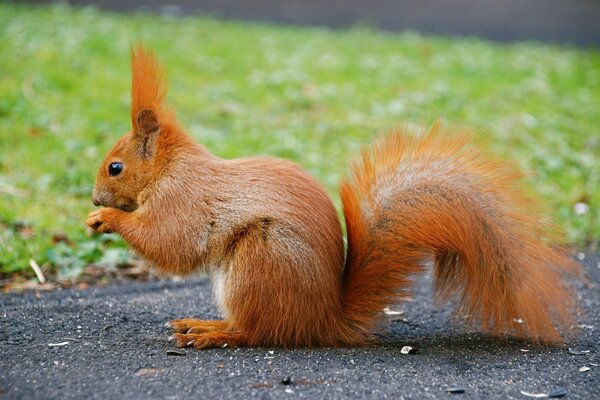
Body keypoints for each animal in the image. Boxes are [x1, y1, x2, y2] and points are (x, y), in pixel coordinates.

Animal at [86, 46, 580, 346]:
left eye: (115, 167)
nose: (93, 199)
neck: (169, 168)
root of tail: (322, 319)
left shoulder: (182, 198)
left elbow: (171, 242)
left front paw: (109, 220)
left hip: (261, 258)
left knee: (257, 332)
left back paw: (213, 332)